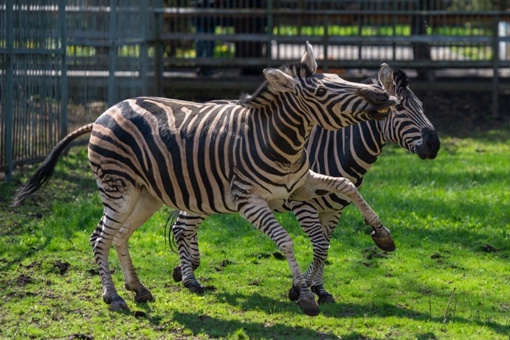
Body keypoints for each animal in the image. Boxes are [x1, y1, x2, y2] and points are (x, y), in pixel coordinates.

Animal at [9, 42, 396, 316]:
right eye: (321, 91)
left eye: (340, 79)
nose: (385, 96)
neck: (278, 141)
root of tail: (103, 114)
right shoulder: (249, 201)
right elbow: (285, 241)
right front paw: (303, 295)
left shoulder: (299, 183)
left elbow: (346, 185)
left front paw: (382, 234)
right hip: (118, 191)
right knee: (100, 238)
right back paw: (114, 297)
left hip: (145, 196)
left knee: (118, 236)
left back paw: (139, 289)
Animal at [170, 62, 438, 304]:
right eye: (400, 108)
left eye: (422, 107)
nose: (434, 144)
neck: (341, 150)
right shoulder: (303, 205)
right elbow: (319, 247)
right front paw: (298, 290)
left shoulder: (334, 209)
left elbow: (326, 247)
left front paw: (320, 289)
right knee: (182, 227)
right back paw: (191, 279)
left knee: (184, 225)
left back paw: (187, 269)